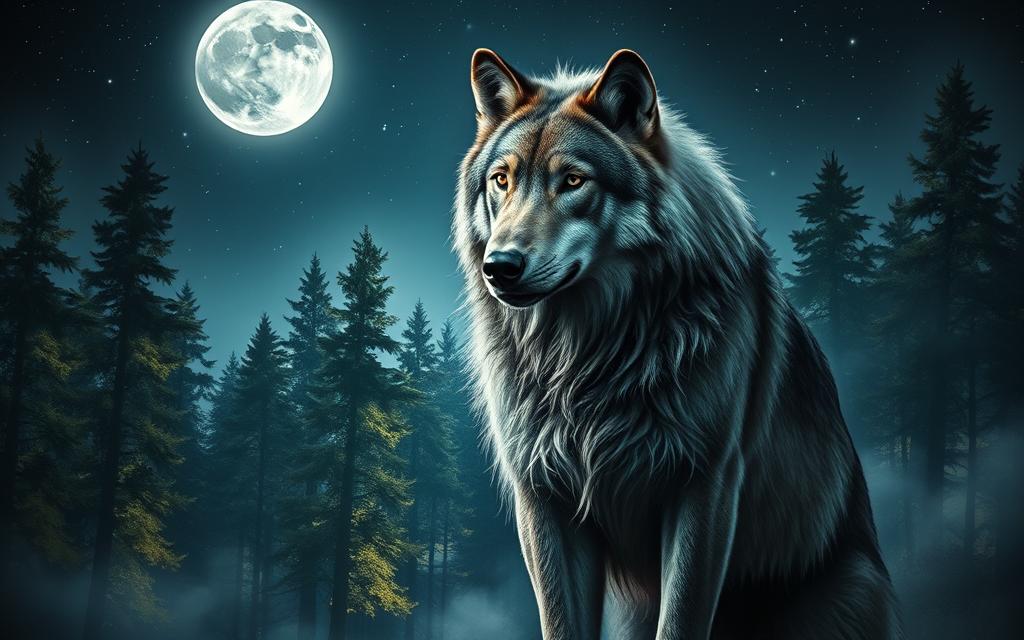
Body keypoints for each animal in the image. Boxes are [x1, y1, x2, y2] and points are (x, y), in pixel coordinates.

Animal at [453, 48, 901, 640]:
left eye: (572, 180)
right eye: (501, 180)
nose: (499, 266)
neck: (587, 357)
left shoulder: (703, 487)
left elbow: (682, 618)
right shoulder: (543, 498)